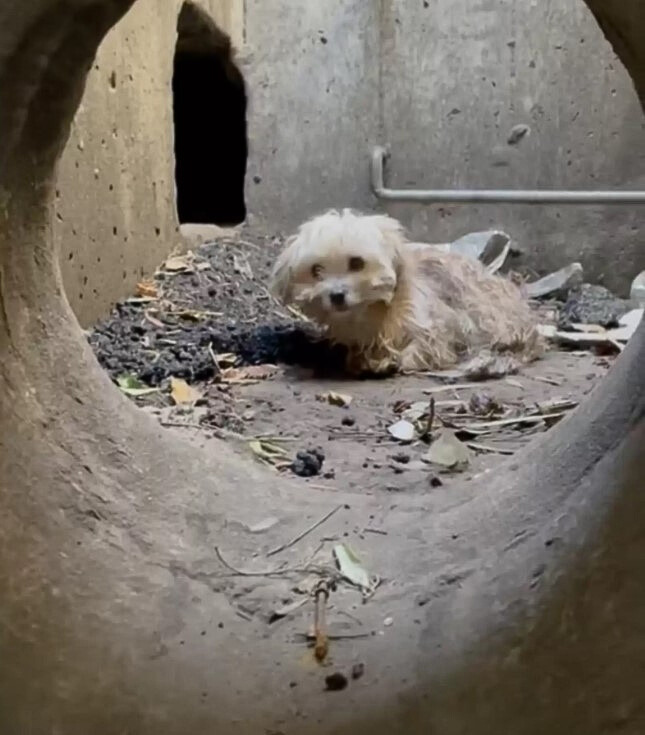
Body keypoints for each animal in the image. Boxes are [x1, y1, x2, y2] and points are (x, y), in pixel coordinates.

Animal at [270, 210, 540, 376]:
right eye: (316, 270)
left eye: (357, 262)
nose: (336, 296)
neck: (376, 312)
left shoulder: (436, 325)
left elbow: (426, 345)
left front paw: (393, 360)